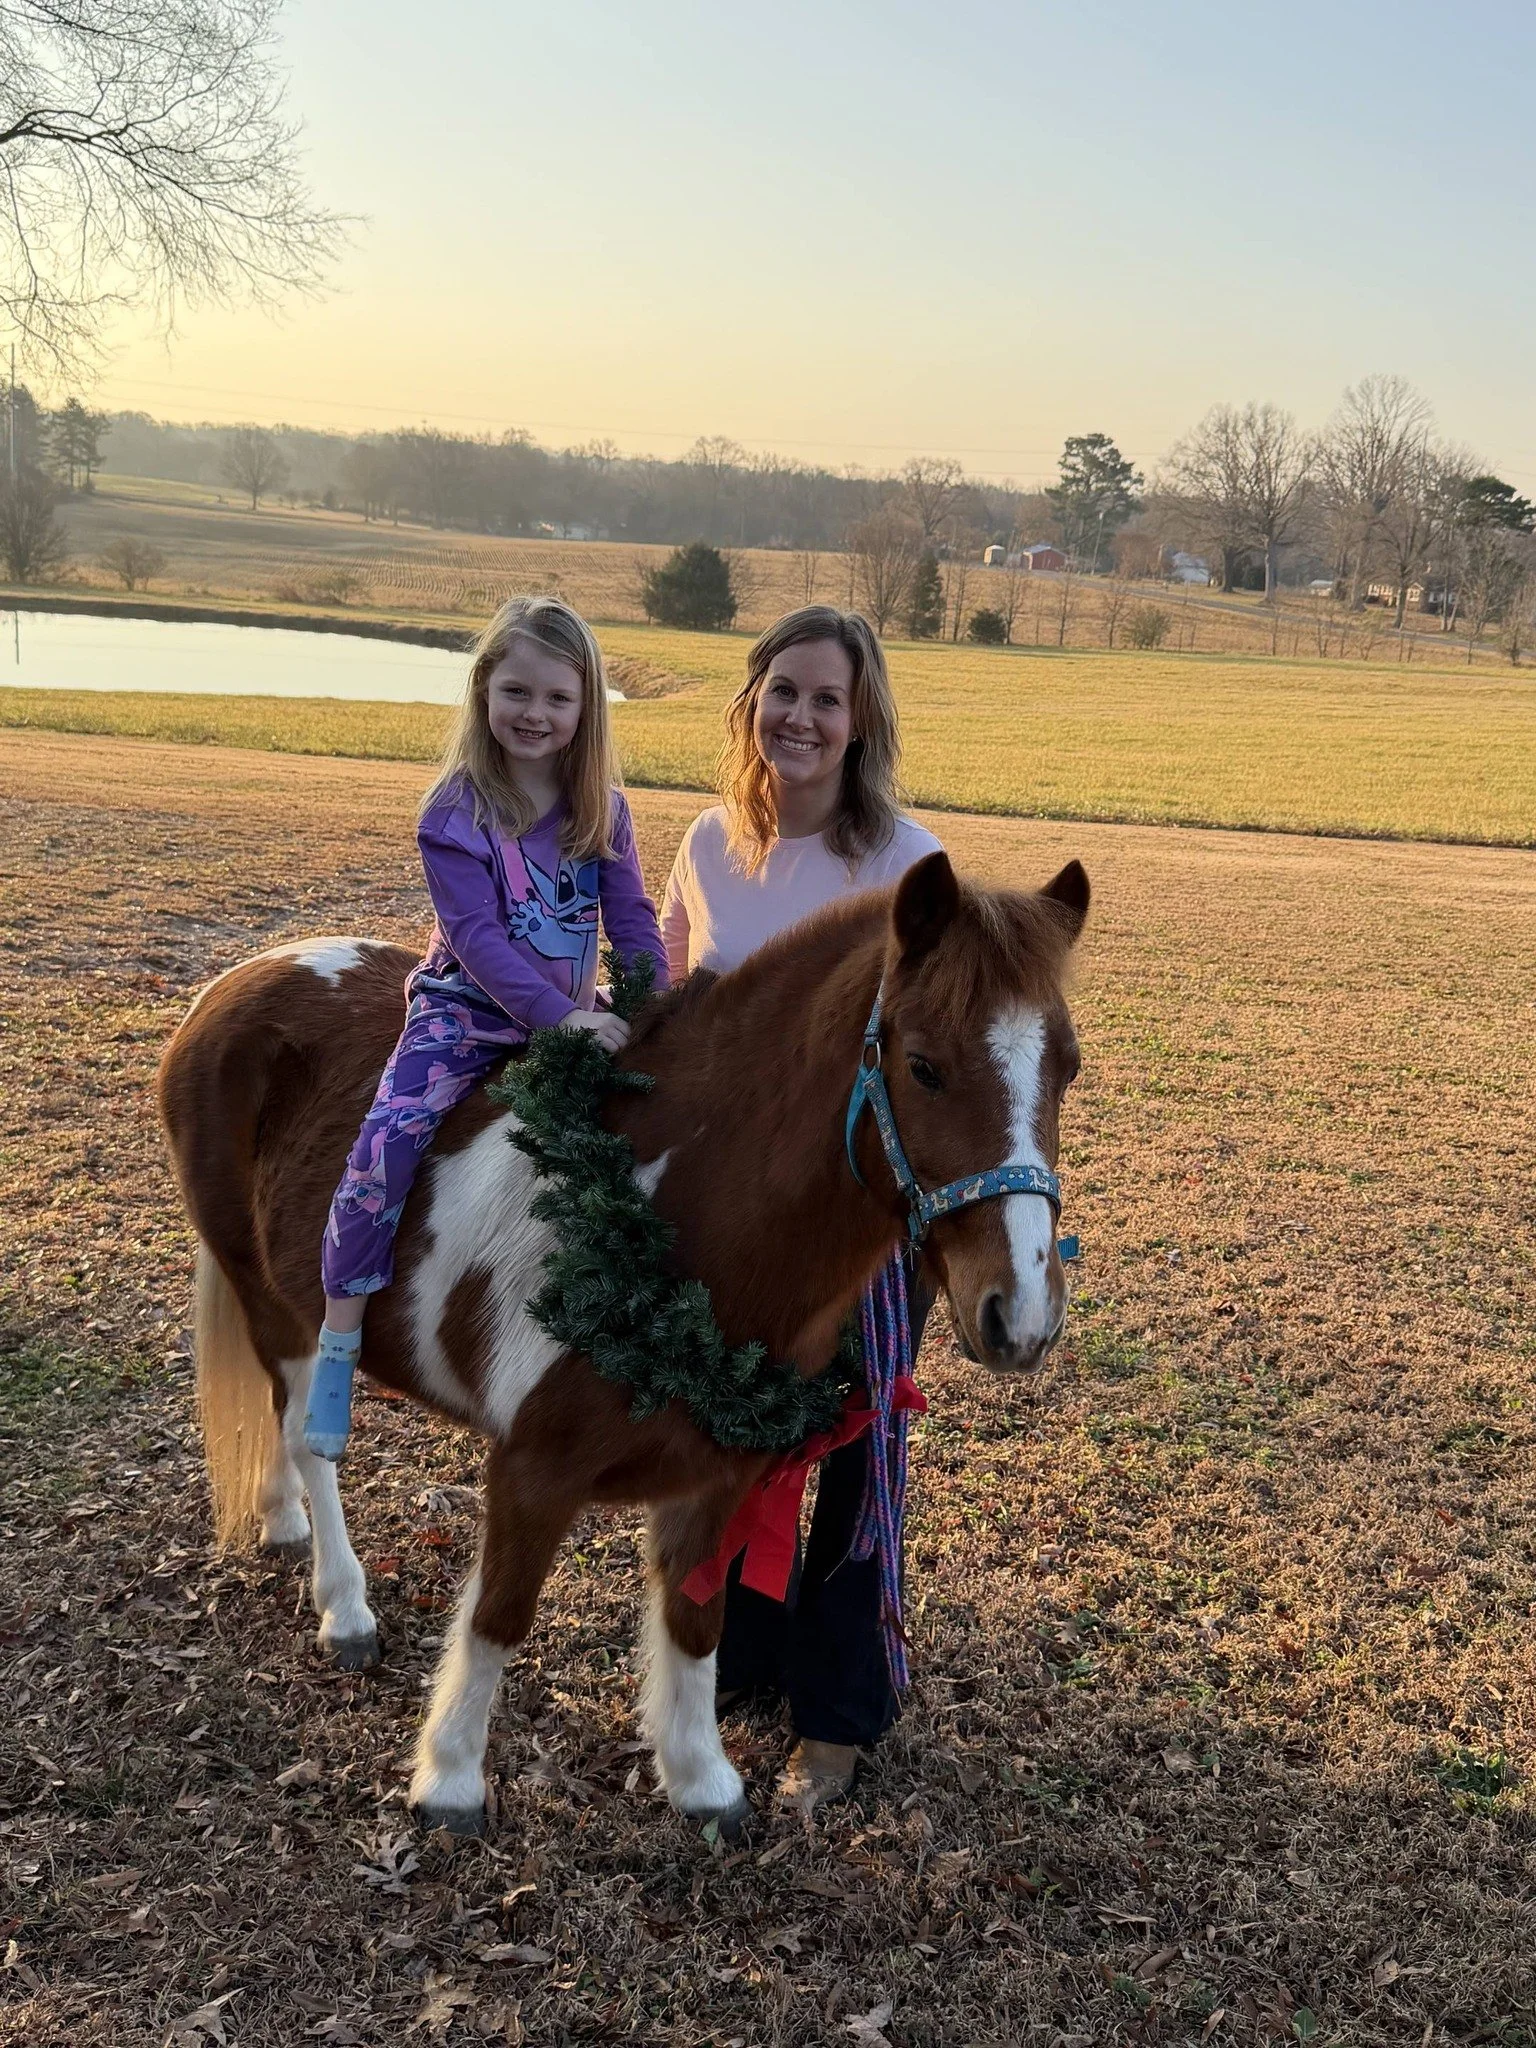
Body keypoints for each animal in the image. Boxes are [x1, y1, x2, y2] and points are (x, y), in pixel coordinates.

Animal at [156, 850, 1088, 1835]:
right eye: (923, 1067)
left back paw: (282, 1520)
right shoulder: (531, 1467)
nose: (1023, 1314)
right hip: (273, 1298)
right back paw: (344, 1607)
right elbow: (500, 1613)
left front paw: (701, 1779)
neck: (668, 1215)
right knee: (308, 1433)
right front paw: (450, 1778)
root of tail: (241, 978)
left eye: (1067, 1069)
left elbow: (694, 1622)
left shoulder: (719, 1473)